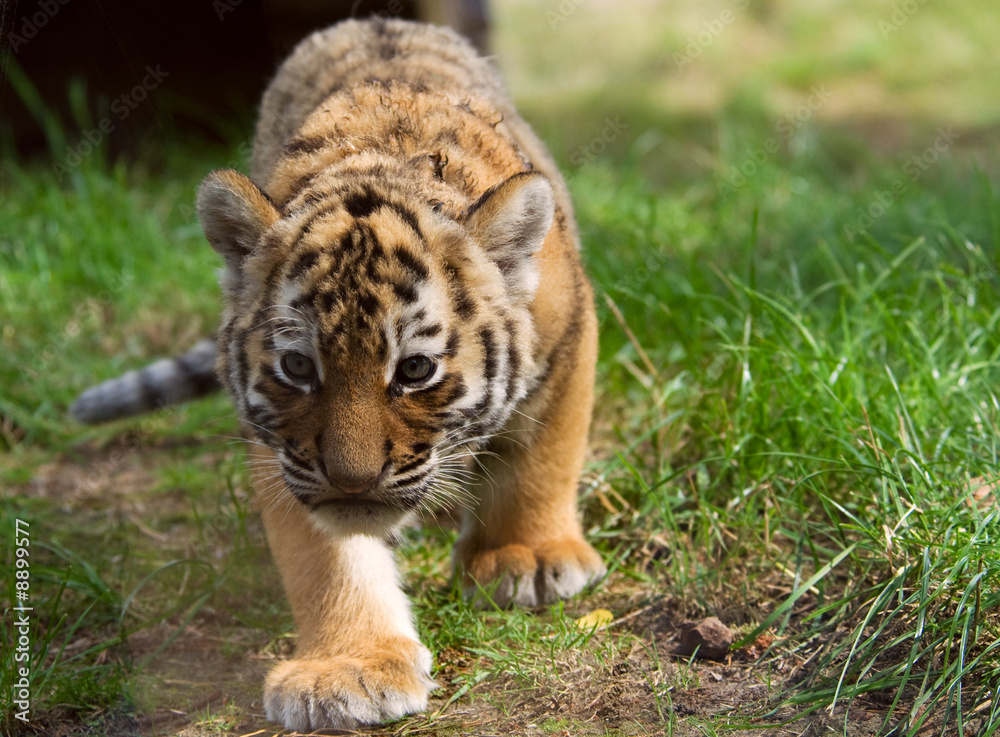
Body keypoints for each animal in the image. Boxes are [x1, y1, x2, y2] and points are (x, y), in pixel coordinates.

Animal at [72, 17, 604, 731]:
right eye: (298, 366)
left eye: (415, 369)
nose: (353, 479)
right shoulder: (280, 448)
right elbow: (327, 559)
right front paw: (347, 670)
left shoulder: (569, 330)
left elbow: (542, 456)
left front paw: (530, 557)